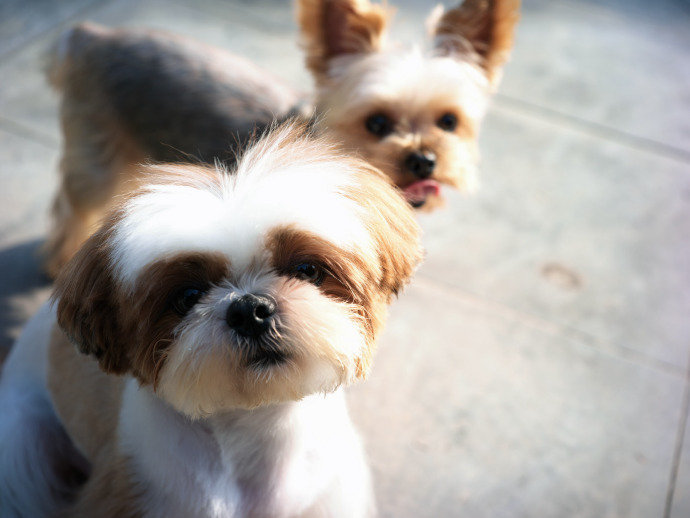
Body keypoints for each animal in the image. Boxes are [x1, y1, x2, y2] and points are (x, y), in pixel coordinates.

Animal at [43, 0, 519, 276]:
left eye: (449, 121)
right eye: (376, 123)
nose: (423, 159)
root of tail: (90, 36)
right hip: (98, 155)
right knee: (71, 205)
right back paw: (59, 261)